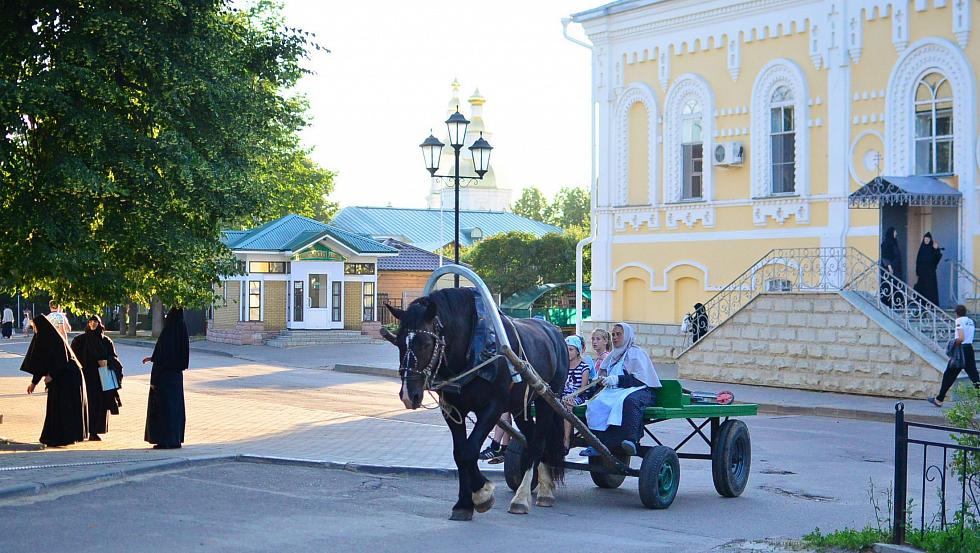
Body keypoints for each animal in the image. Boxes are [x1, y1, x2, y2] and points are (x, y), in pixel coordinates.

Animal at [380, 286, 568, 520]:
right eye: (398, 343)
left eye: (425, 343)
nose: (408, 395)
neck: (475, 350)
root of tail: (554, 331)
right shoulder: (452, 409)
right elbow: (460, 452)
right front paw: (464, 503)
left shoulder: (493, 408)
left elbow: (470, 450)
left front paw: (482, 493)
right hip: (520, 407)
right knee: (532, 438)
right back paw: (545, 488)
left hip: (546, 400)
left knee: (538, 443)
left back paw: (523, 497)